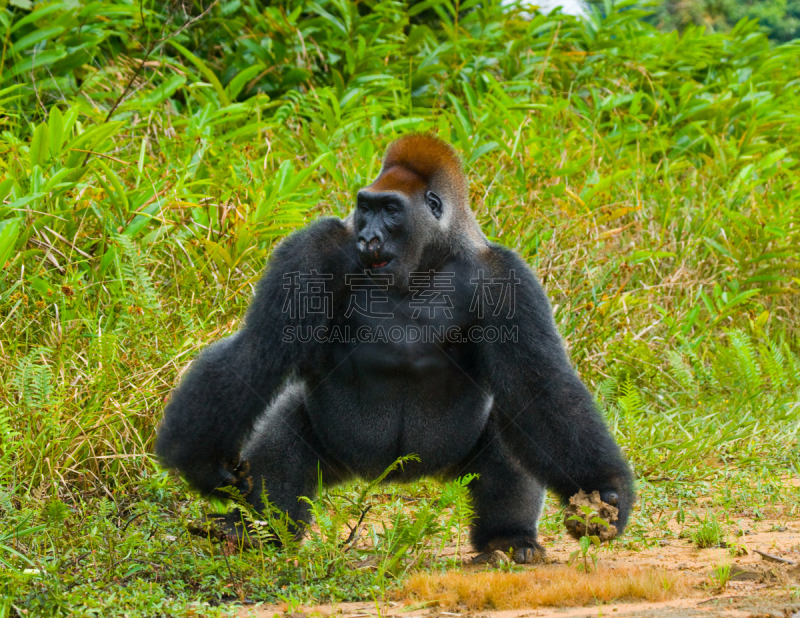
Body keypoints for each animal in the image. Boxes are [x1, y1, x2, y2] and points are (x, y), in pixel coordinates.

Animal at [155, 135, 632, 564]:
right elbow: (259, 347)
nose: (368, 238)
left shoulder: (506, 278)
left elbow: (539, 387)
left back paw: (507, 537)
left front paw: (605, 488)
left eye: (390, 210)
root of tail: (392, 478)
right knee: (285, 429)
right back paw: (255, 532)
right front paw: (200, 460)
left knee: (508, 428)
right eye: (365, 207)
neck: (427, 260)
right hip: (346, 457)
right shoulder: (314, 250)